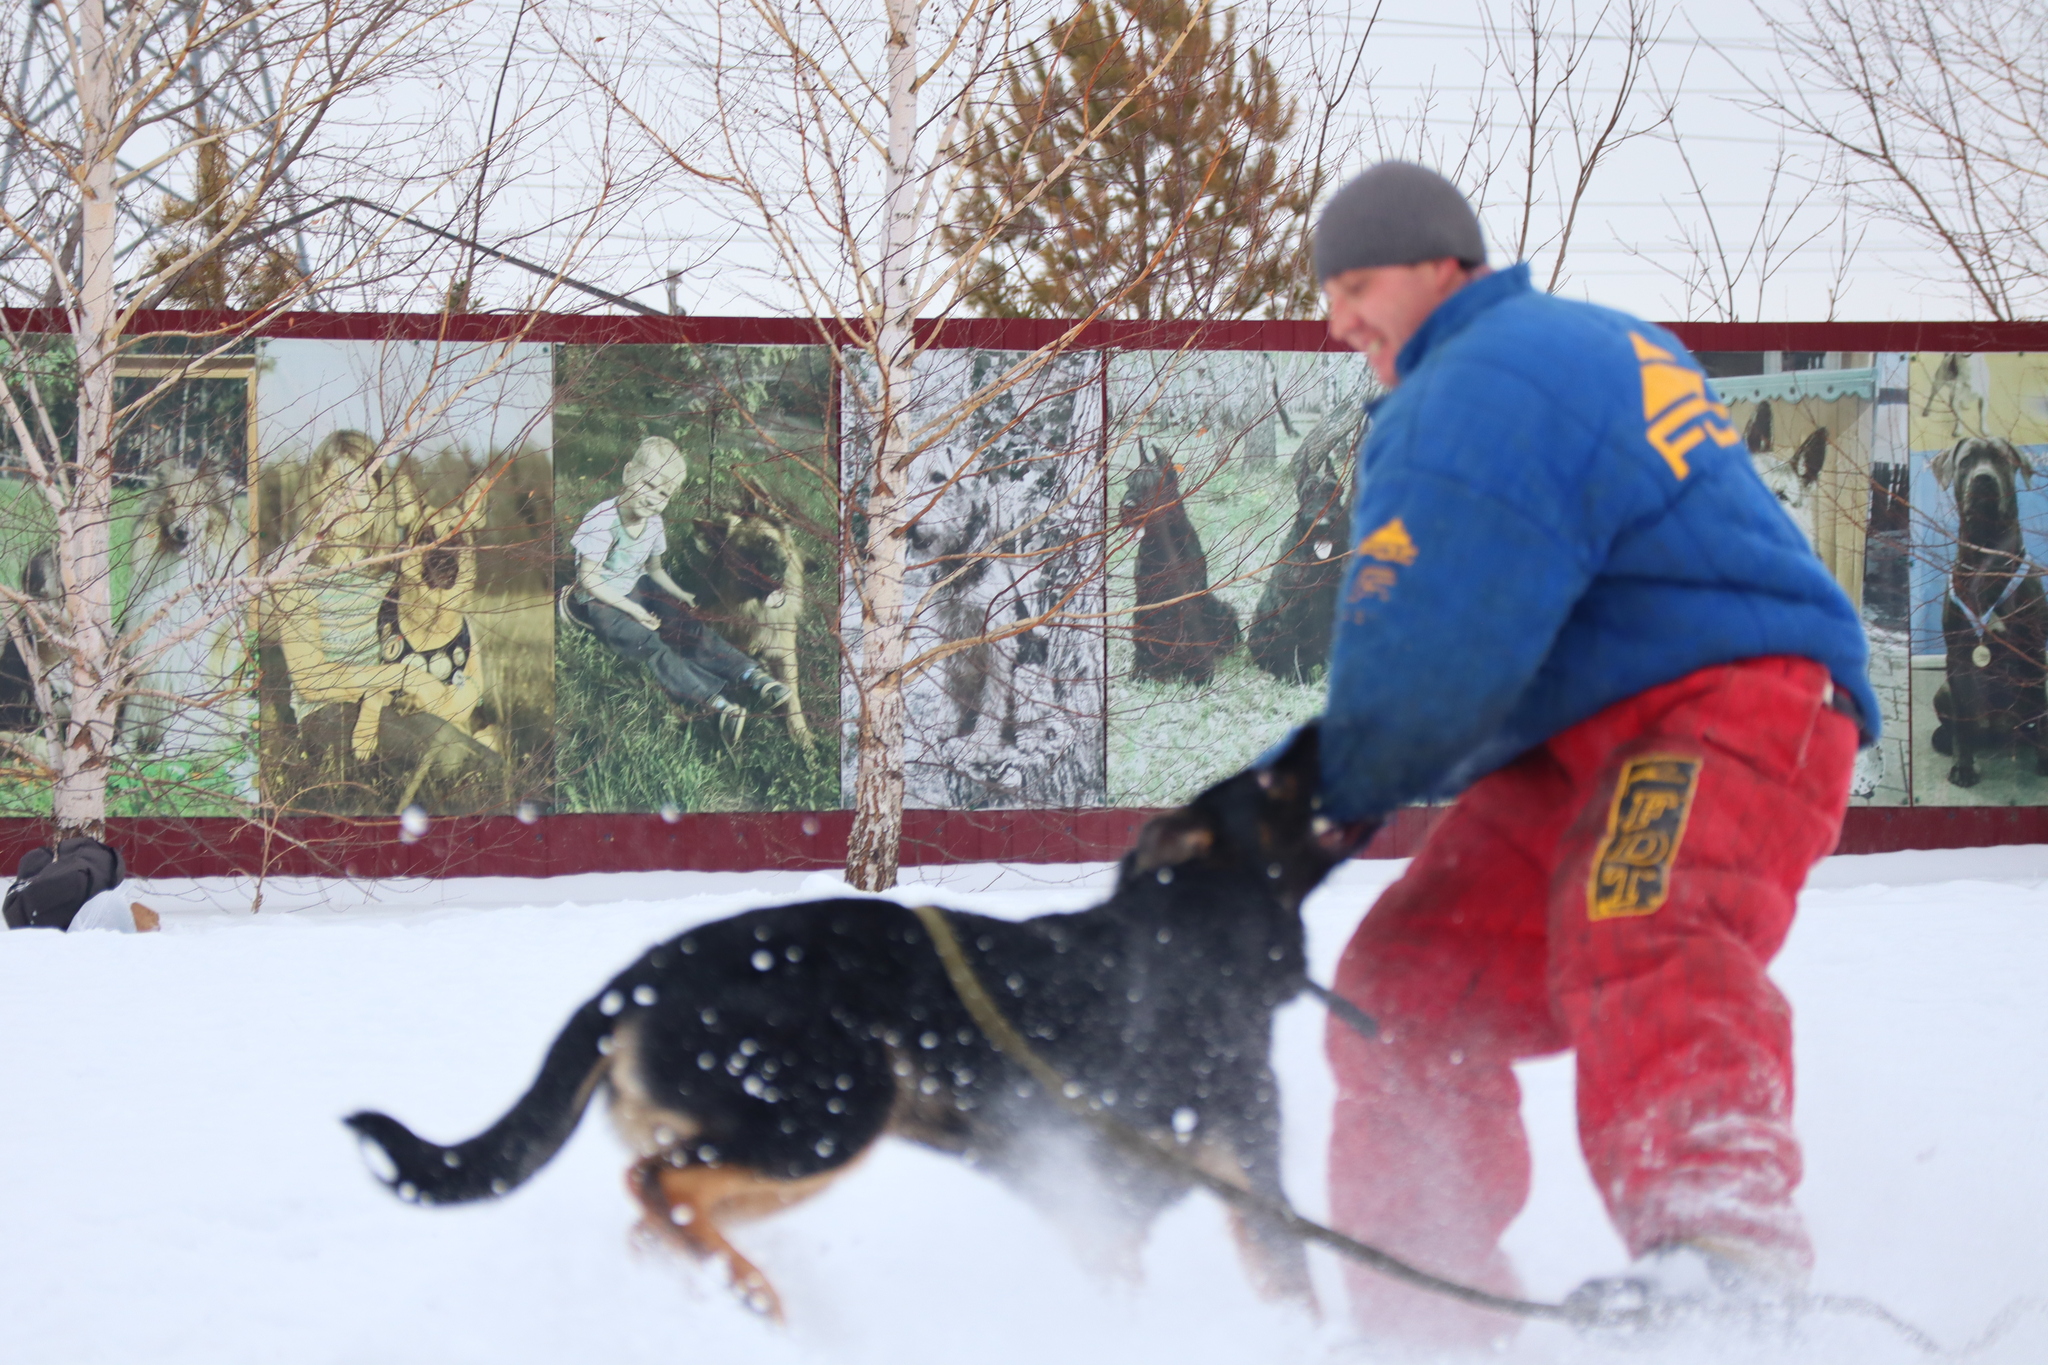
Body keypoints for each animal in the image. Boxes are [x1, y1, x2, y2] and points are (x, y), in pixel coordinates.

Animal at [344, 732, 1368, 1317]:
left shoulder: (1114, 1215)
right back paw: (760, 1297)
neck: (1192, 939)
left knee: (658, 1215)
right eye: (1278, 784)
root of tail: (631, 982)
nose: (1330, 722)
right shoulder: (1242, 1192)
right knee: (658, 1186)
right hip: (835, 1110)